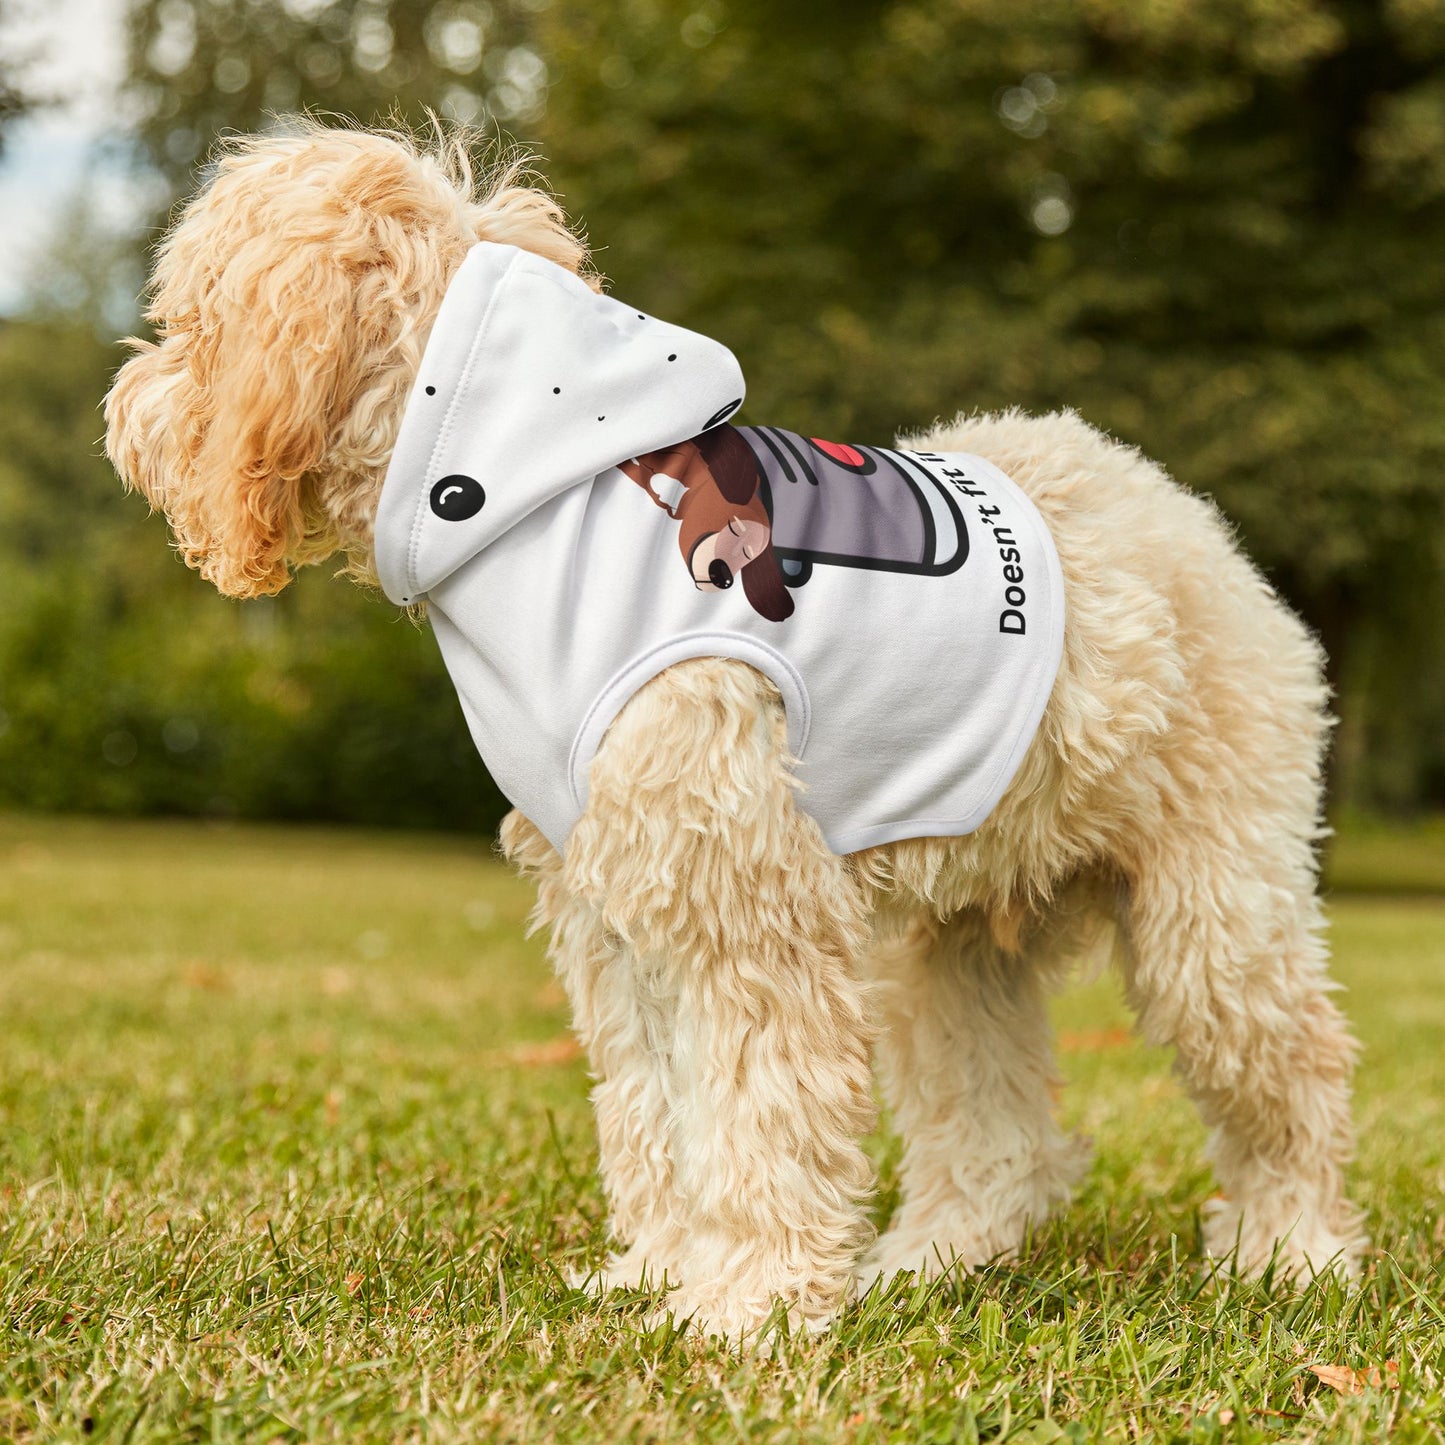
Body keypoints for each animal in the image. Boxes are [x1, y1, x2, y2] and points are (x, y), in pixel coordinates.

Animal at [104, 127, 1364, 1340]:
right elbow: (655, 1110)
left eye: (191, 320)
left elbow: (760, 1109)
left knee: (1292, 1072)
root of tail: (1187, 519)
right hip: (950, 946)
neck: (529, 498)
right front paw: (662, 1271)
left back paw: (1290, 1251)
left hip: (1212, 911)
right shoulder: (617, 909)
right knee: (995, 1131)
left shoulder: (744, 904)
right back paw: (929, 1260)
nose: (124, 405)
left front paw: (748, 1304)